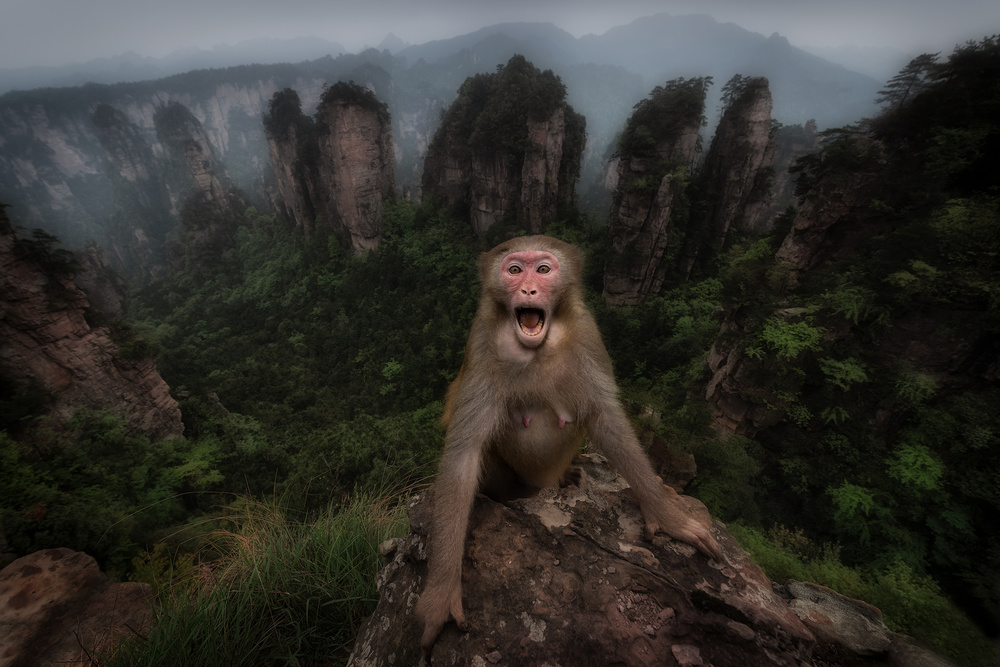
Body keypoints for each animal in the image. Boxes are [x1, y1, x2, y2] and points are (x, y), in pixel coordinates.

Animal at [416, 235, 723, 655]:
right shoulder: (479, 343)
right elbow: (464, 455)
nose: (529, 289)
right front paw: (441, 592)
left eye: (543, 270)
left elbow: (607, 421)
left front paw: (668, 515)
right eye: (515, 270)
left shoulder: (588, 335)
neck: (537, 347)